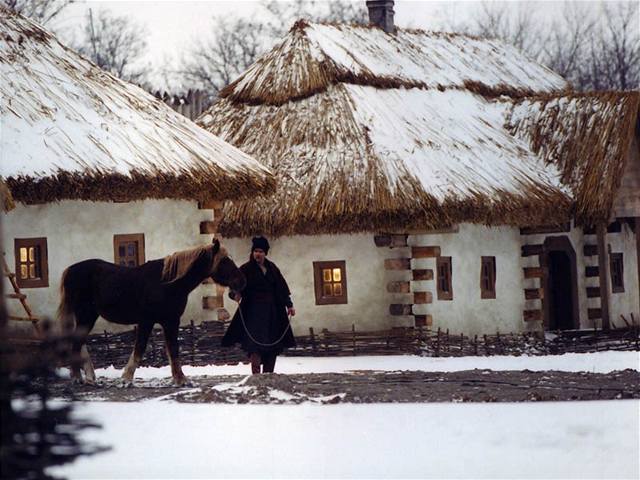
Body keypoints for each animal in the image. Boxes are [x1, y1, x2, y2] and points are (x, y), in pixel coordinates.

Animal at [56, 240, 246, 386]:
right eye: (224, 261)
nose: (241, 282)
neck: (168, 283)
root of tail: (69, 270)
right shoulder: (147, 321)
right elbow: (141, 348)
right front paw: (126, 379)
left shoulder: (171, 321)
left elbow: (173, 349)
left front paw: (180, 379)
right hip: (86, 315)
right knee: (76, 343)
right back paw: (78, 378)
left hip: (88, 316)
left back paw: (89, 377)